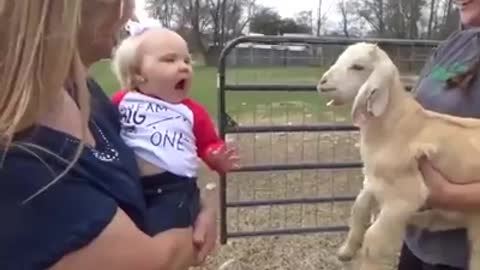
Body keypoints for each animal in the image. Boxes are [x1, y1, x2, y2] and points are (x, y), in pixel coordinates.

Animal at [316, 41, 480, 270]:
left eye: (358, 66)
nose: (323, 82)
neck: (394, 127)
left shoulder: (404, 197)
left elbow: (373, 240)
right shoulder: (374, 181)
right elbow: (359, 208)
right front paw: (346, 251)